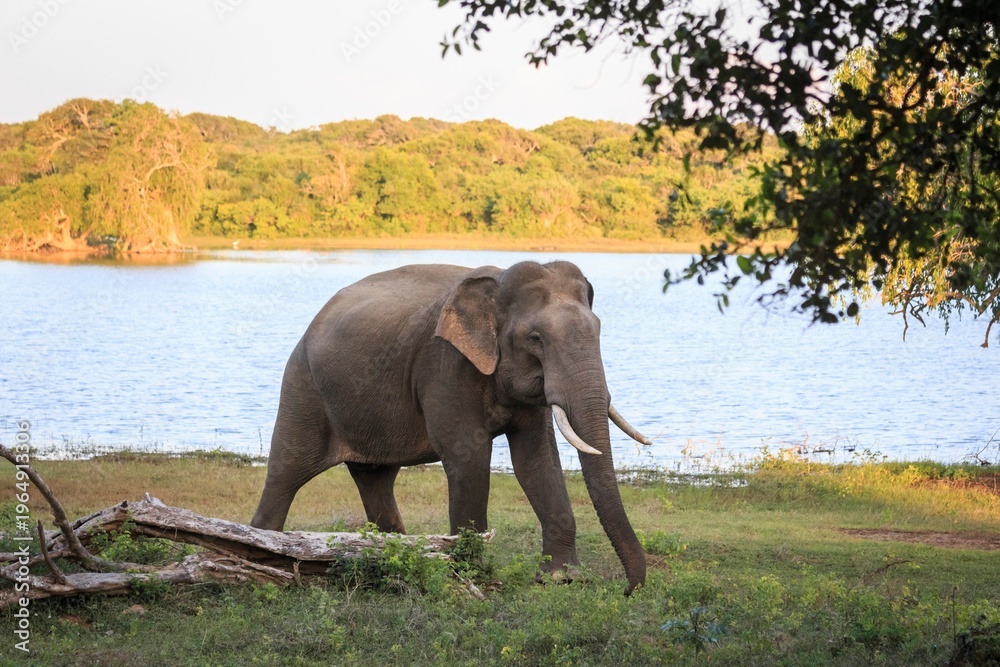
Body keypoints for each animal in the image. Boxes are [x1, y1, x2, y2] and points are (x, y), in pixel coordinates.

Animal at [250, 260, 652, 593]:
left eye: (598, 330)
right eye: (536, 338)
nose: (627, 590)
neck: (498, 281)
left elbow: (537, 460)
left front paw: (561, 578)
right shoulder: (446, 365)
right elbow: (468, 456)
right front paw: (473, 573)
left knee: (375, 478)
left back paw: (392, 559)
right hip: (303, 386)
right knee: (286, 472)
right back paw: (261, 553)